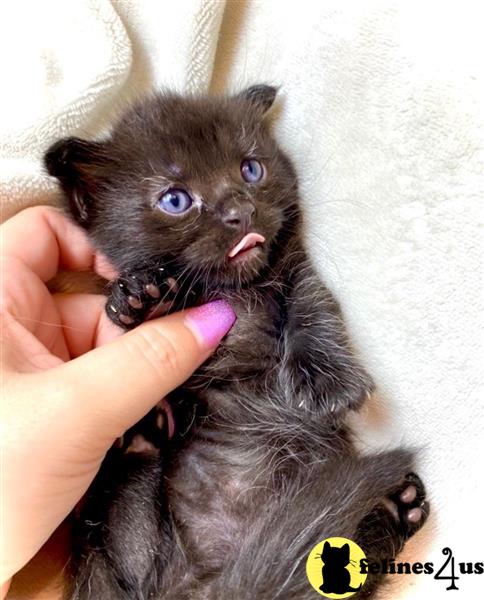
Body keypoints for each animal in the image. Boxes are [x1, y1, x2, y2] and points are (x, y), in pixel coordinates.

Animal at [45, 85, 430, 600]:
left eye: (251, 169)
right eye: (175, 199)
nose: (240, 211)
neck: (235, 290)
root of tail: (206, 582)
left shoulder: (297, 271)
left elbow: (314, 307)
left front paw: (330, 380)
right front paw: (144, 300)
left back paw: (394, 510)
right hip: (116, 559)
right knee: (129, 543)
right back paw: (143, 440)